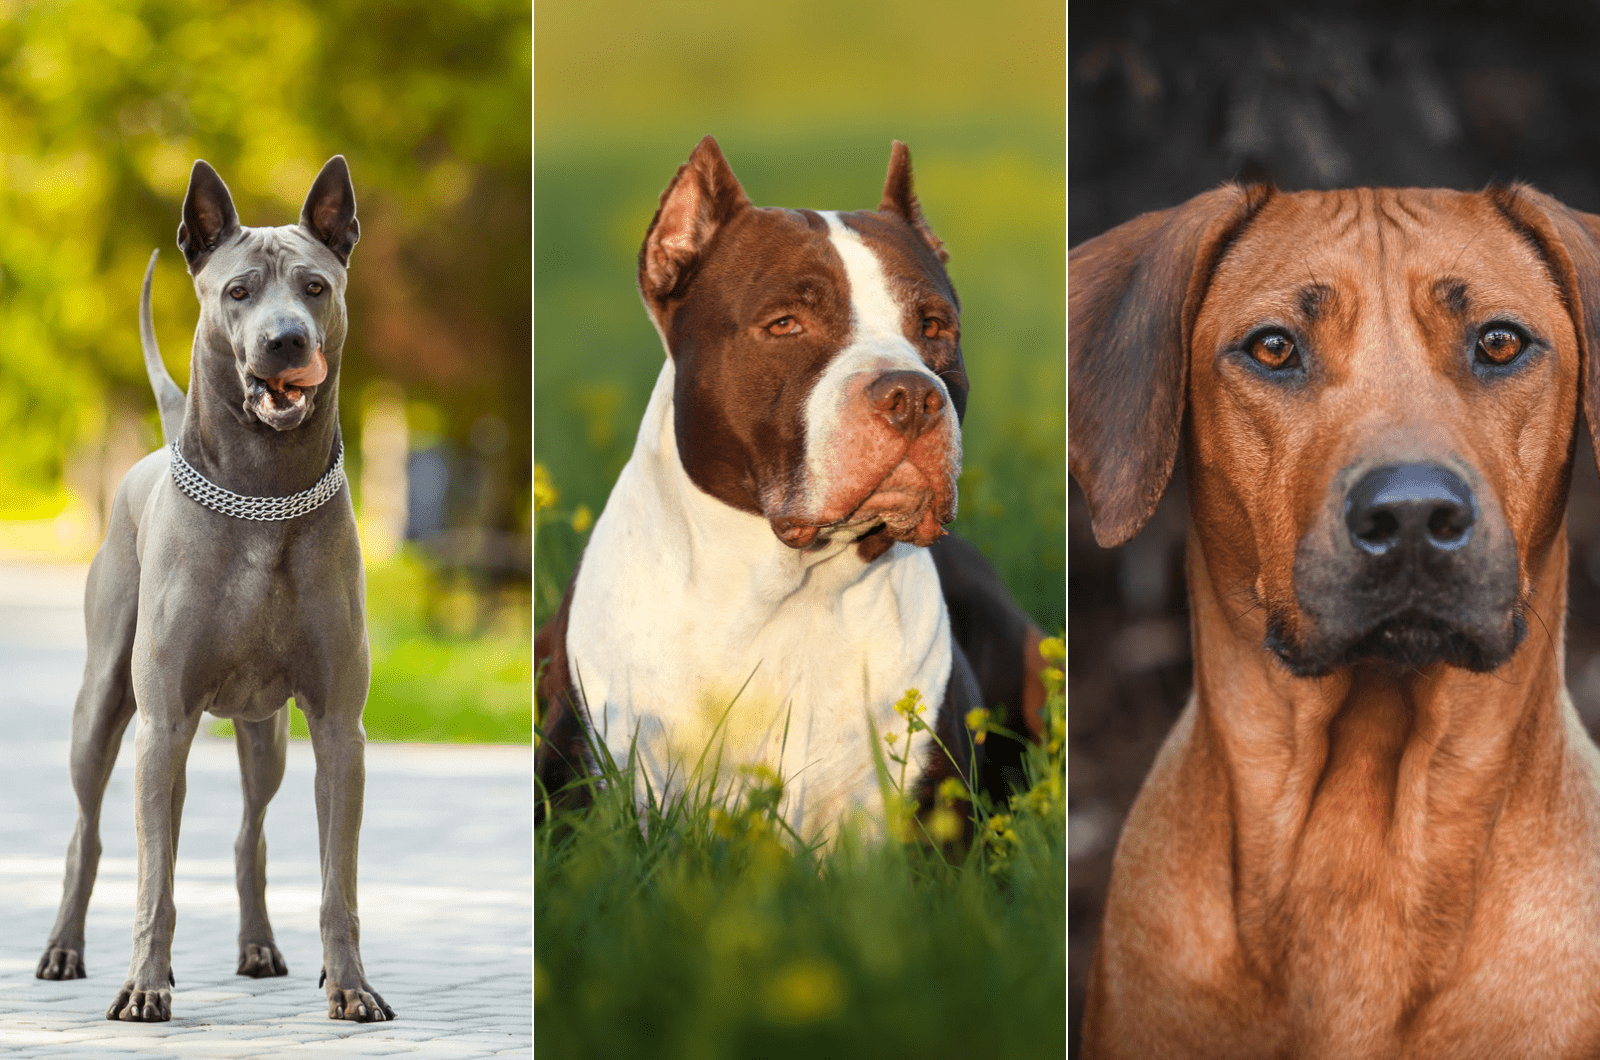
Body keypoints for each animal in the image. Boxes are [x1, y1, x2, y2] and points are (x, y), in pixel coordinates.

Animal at [33, 153, 393, 1024]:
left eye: (315, 286)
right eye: (238, 291)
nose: (285, 341)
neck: (263, 494)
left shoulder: (340, 729)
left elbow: (337, 882)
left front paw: (352, 985)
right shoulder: (163, 724)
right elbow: (154, 880)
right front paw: (145, 986)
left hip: (265, 733)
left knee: (249, 832)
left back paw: (260, 947)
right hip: (106, 707)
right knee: (91, 831)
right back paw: (65, 949)